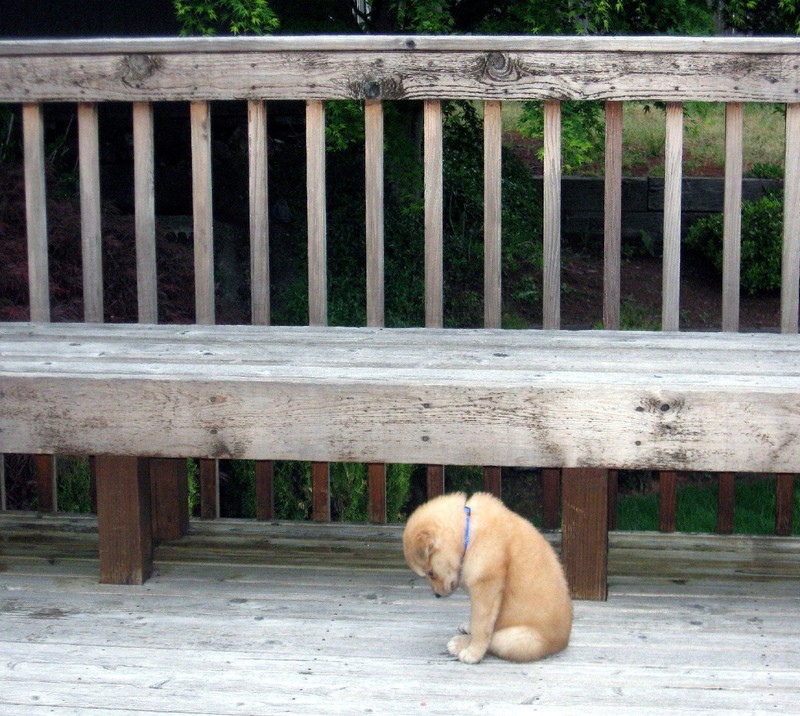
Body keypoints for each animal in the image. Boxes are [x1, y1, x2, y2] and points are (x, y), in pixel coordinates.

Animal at [404, 490, 572, 664]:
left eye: (430, 572)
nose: (436, 595)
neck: (468, 534)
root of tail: (563, 641)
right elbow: (475, 618)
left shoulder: (486, 588)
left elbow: (480, 626)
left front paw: (473, 653)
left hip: (515, 639)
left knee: (493, 640)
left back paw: (459, 644)